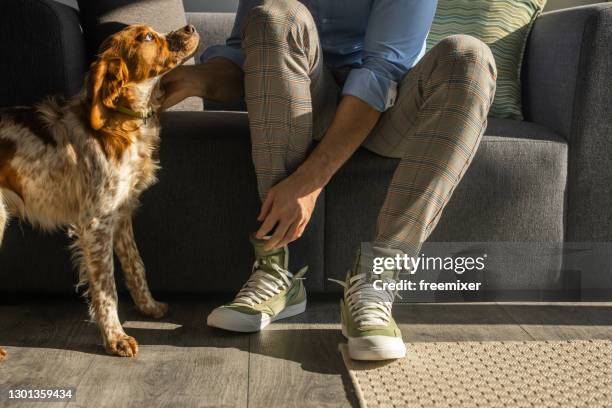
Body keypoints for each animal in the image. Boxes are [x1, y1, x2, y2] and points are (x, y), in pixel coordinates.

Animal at [0, 23, 198, 358]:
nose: (191, 27)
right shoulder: (96, 221)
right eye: (147, 37)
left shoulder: (121, 212)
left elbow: (136, 265)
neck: (121, 121)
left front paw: (149, 307)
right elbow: (106, 288)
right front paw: (116, 339)